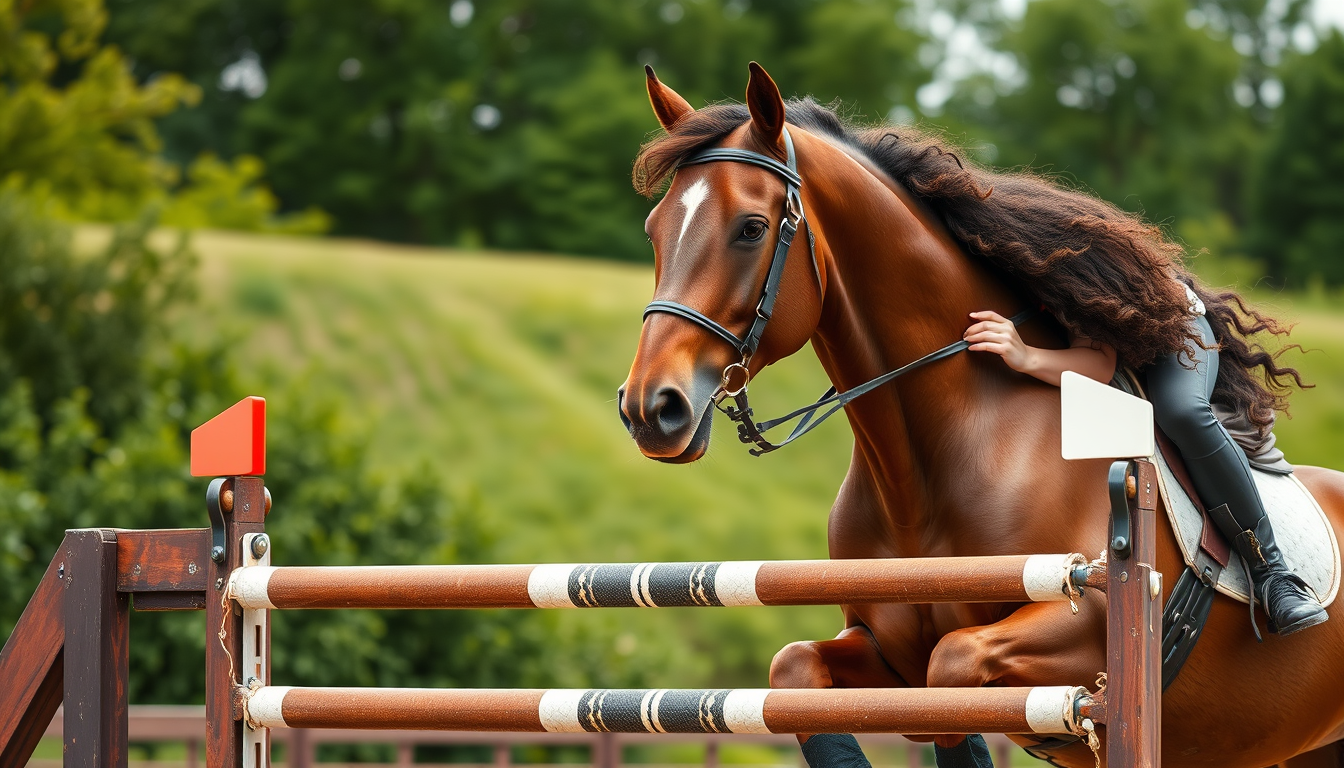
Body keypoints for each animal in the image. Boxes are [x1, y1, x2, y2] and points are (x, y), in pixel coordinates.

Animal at [616, 62, 1344, 767]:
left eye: (751, 228)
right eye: (654, 232)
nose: (651, 409)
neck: (931, 463)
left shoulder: (1088, 619)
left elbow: (954, 669)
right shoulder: (885, 647)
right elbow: (798, 668)